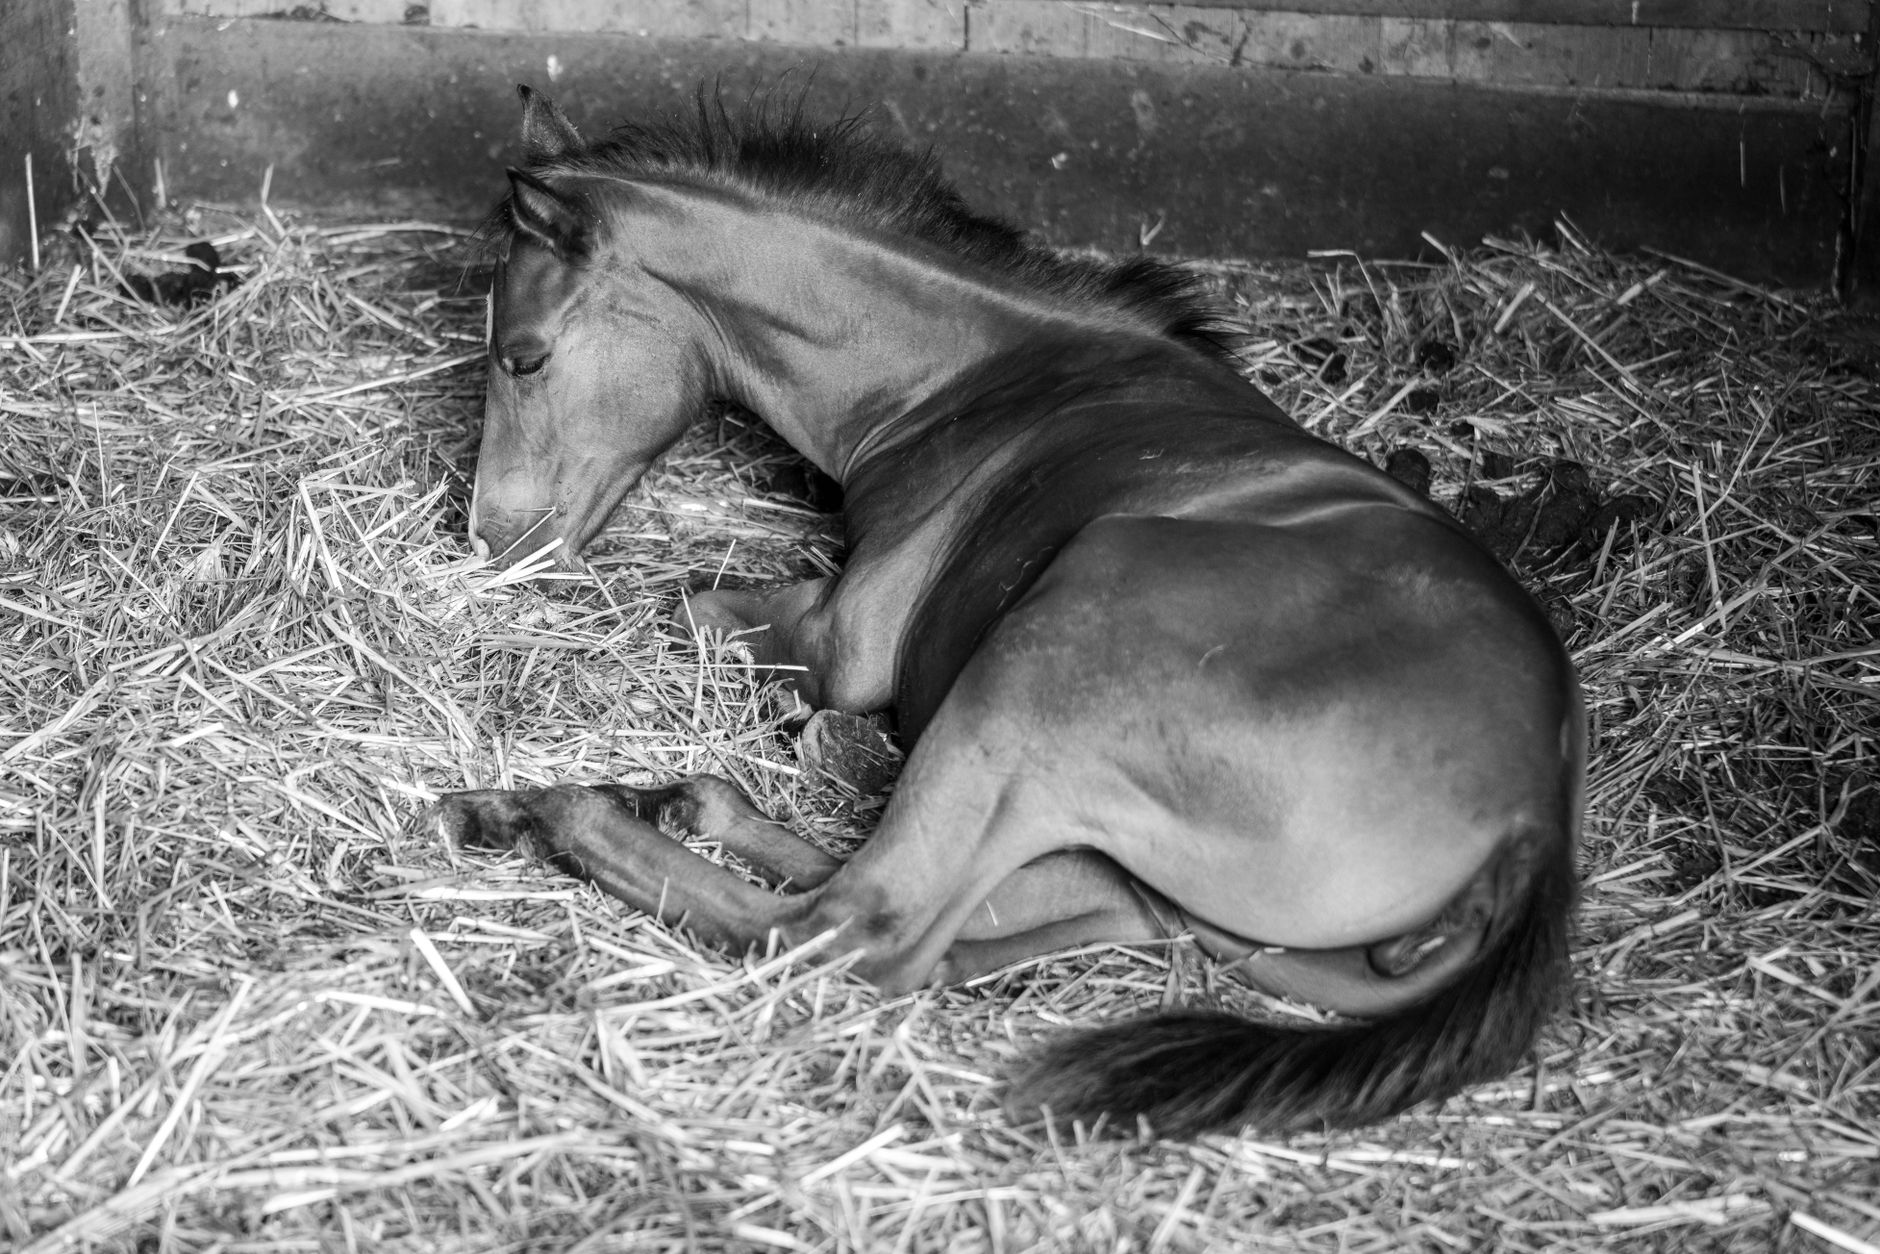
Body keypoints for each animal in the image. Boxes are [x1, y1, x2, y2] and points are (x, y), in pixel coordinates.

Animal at [427, 85, 1584, 1137]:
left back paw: (553, 809)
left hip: (1054, 649)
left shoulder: (846, 642)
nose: (488, 541)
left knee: (860, 927)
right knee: (961, 926)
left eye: (523, 354)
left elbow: (694, 606)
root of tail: (1536, 819)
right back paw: (649, 799)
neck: (978, 378)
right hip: (1124, 865)